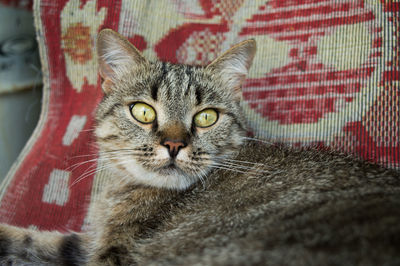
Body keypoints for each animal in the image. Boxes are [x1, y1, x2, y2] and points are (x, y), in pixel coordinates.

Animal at [0, 28, 400, 264]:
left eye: (206, 117)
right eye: (143, 111)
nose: (174, 144)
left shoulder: (112, 255)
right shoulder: (89, 244)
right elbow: (33, 238)